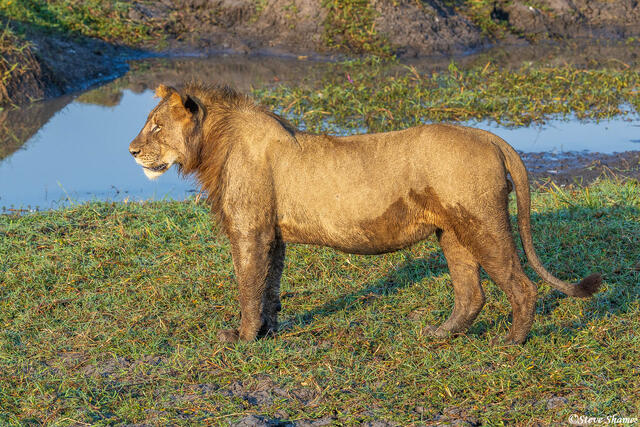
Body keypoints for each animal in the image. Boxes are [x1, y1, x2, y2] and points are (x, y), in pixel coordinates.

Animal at [129, 82, 601, 345]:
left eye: (155, 126)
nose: (132, 150)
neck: (213, 144)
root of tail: (489, 136)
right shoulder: (271, 234)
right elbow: (270, 288)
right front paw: (268, 333)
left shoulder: (250, 231)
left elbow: (249, 287)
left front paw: (242, 340)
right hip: (453, 233)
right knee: (472, 293)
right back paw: (439, 335)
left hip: (484, 225)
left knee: (522, 286)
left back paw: (511, 343)